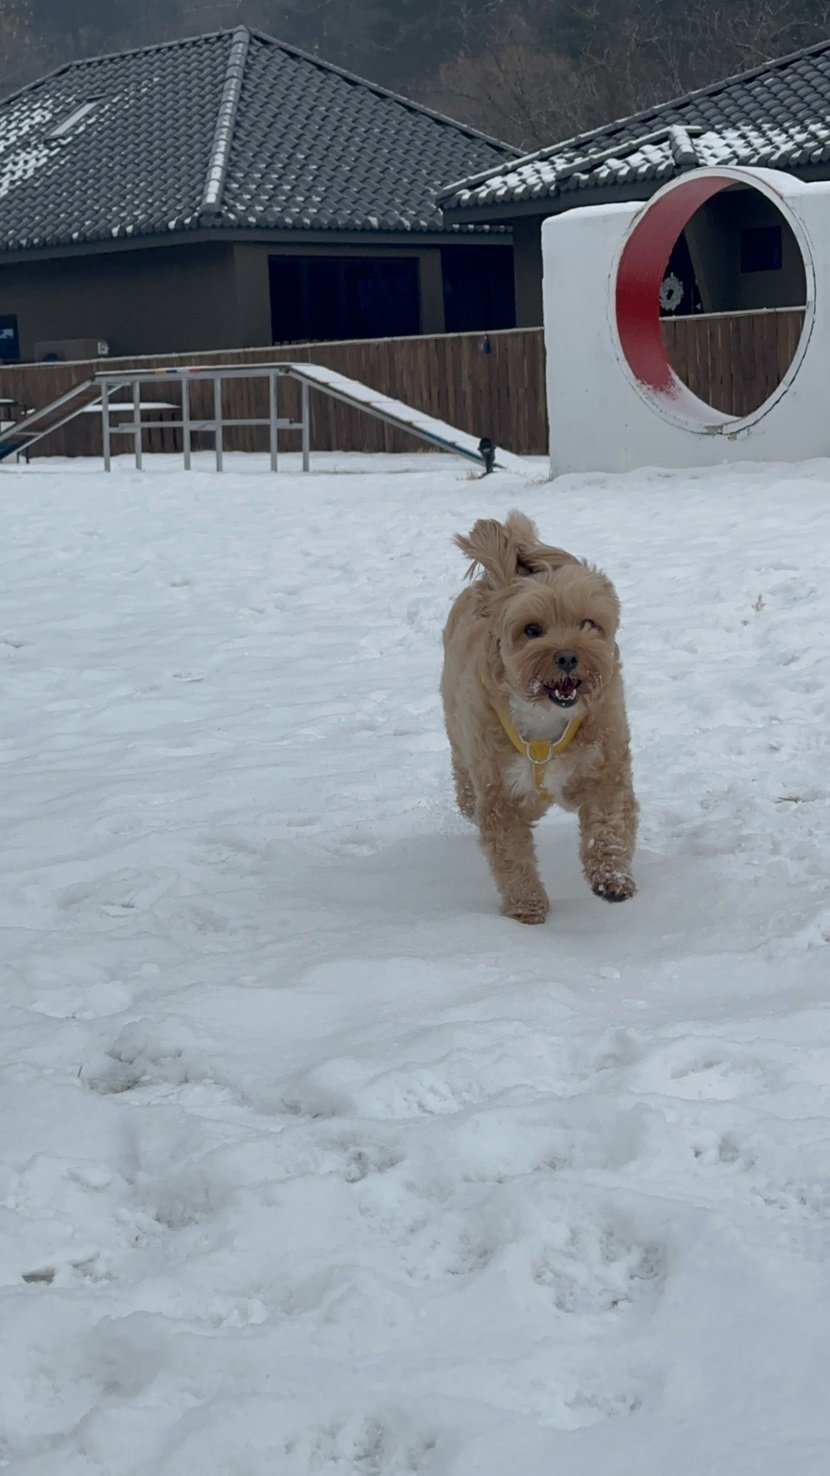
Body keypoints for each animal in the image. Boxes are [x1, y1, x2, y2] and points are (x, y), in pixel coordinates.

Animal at [441, 510, 638, 924]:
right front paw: (527, 908)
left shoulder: (604, 766)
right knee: (461, 770)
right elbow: (511, 856)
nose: (567, 656)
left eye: (587, 623)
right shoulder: (500, 792)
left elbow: (609, 823)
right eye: (532, 629)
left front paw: (611, 878)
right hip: (457, 729)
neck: (545, 725)